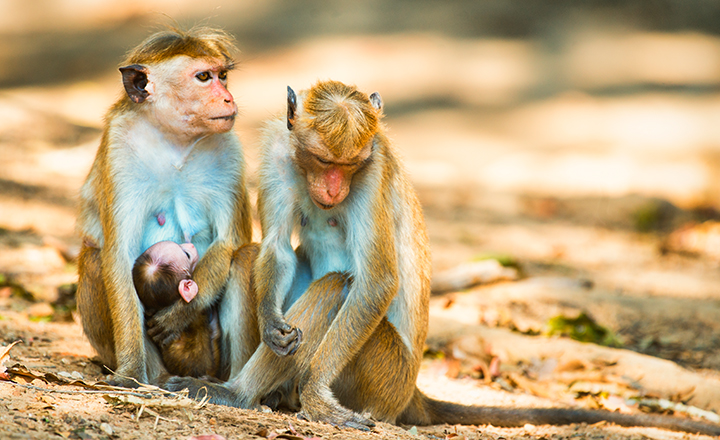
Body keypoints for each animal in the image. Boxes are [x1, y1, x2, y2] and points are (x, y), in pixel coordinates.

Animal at [163, 80, 720, 436]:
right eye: (322, 161)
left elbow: (375, 281)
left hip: (382, 377)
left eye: (350, 165)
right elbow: (277, 246)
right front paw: (272, 322)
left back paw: (255, 395)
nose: (333, 187)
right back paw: (240, 392)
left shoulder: (374, 171)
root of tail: (410, 390)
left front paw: (318, 397)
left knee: (338, 285)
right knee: (248, 258)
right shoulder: (280, 152)